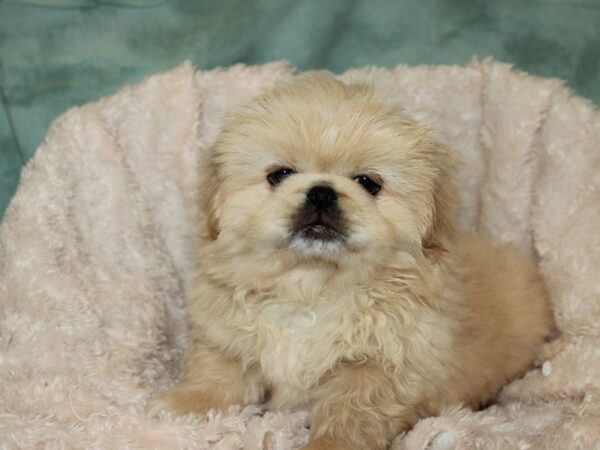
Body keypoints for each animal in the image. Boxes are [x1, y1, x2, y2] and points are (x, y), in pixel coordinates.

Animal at [149, 74, 552, 450]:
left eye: (368, 183)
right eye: (280, 175)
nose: (322, 193)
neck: (312, 286)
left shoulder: (377, 369)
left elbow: (350, 414)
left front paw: (328, 445)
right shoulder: (225, 341)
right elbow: (214, 376)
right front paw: (180, 407)